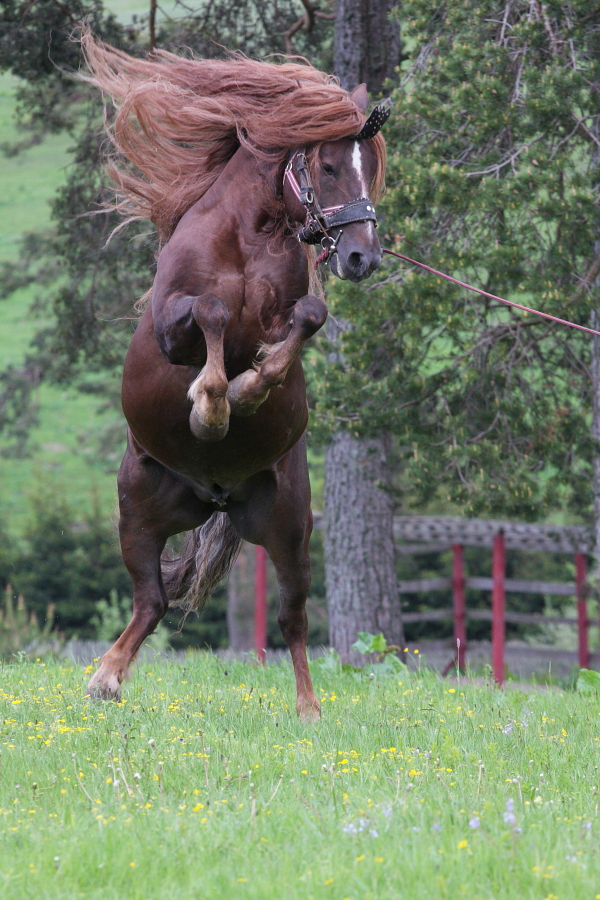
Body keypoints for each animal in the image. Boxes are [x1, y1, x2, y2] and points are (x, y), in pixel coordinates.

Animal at [81, 33, 388, 721]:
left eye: (371, 165)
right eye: (330, 166)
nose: (363, 257)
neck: (250, 234)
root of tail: (215, 495)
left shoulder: (291, 312)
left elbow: (305, 319)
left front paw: (246, 390)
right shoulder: (172, 327)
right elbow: (213, 312)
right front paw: (212, 405)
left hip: (289, 530)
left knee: (292, 619)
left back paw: (309, 708)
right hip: (137, 515)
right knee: (151, 602)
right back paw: (105, 678)